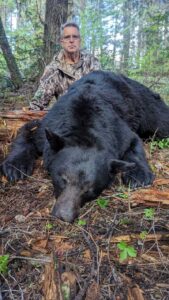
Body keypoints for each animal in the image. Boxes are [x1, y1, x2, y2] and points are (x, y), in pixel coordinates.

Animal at [0, 69, 169, 220]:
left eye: (89, 190)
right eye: (63, 179)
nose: (64, 215)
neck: (84, 129)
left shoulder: (118, 131)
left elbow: (133, 142)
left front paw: (138, 176)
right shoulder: (49, 126)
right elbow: (29, 130)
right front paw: (15, 167)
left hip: (147, 106)